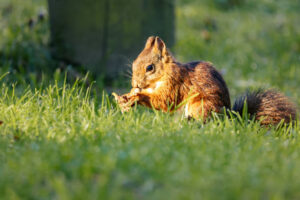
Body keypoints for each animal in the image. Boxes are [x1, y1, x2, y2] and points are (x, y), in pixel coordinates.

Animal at [112, 35, 298, 124]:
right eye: (134, 63)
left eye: (150, 67)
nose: (135, 84)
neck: (163, 74)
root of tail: (229, 117)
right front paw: (126, 97)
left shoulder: (175, 83)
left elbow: (166, 101)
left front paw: (137, 96)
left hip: (201, 105)